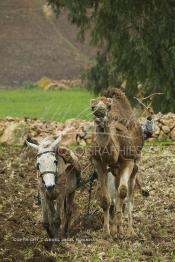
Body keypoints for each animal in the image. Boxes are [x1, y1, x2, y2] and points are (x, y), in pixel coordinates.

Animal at [91, 89, 144, 238]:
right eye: (92, 107)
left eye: (108, 106)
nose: (99, 111)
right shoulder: (99, 163)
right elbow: (105, 199)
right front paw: (107, 232)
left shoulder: (128, 161)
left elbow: (123, 192)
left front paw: (120, 228)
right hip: (115, 169)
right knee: (116, 190)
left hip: (134, 165)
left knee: (129, 197)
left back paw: (130, 231)